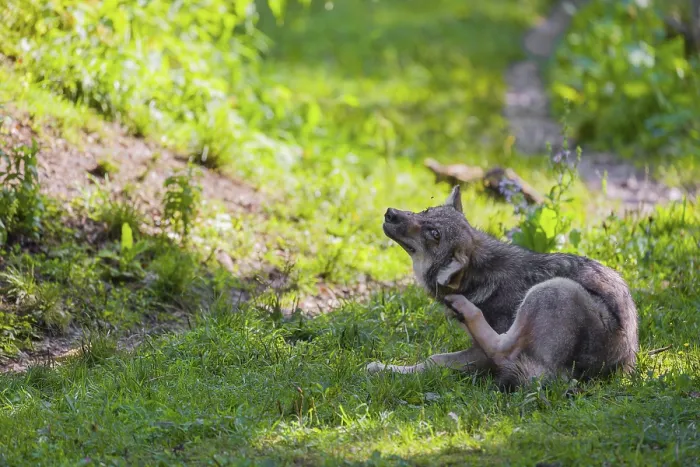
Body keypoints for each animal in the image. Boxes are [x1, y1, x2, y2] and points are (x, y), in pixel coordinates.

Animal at [367, 186, 638, 389]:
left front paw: (387, 368)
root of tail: (625, 362)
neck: (481, 278)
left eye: (434, 234)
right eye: (425, 211)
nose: (390, 213)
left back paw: (465, 310)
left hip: (552, 289)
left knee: (504, 353)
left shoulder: (480, 355)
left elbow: (434, 359)